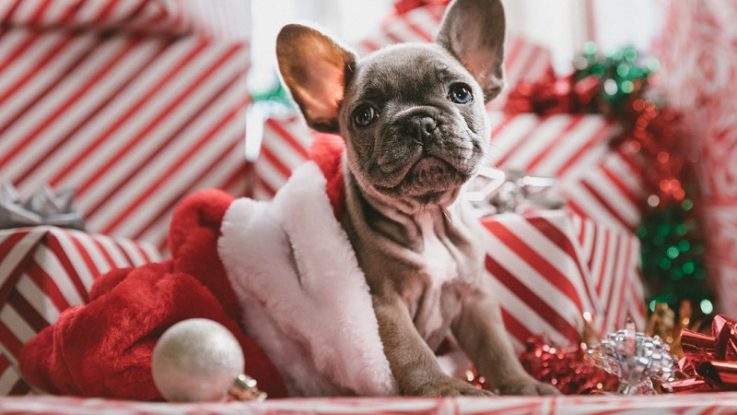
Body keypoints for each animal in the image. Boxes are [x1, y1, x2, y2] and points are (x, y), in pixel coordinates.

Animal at [276, 0, 556, 398]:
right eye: (364, 115)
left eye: (461, 93)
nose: (418, 121)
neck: (428, 217)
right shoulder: (384, 305)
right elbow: (412, 351)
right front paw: (445, 388)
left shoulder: (475, 299)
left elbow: (496, 348)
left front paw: (523, 385)